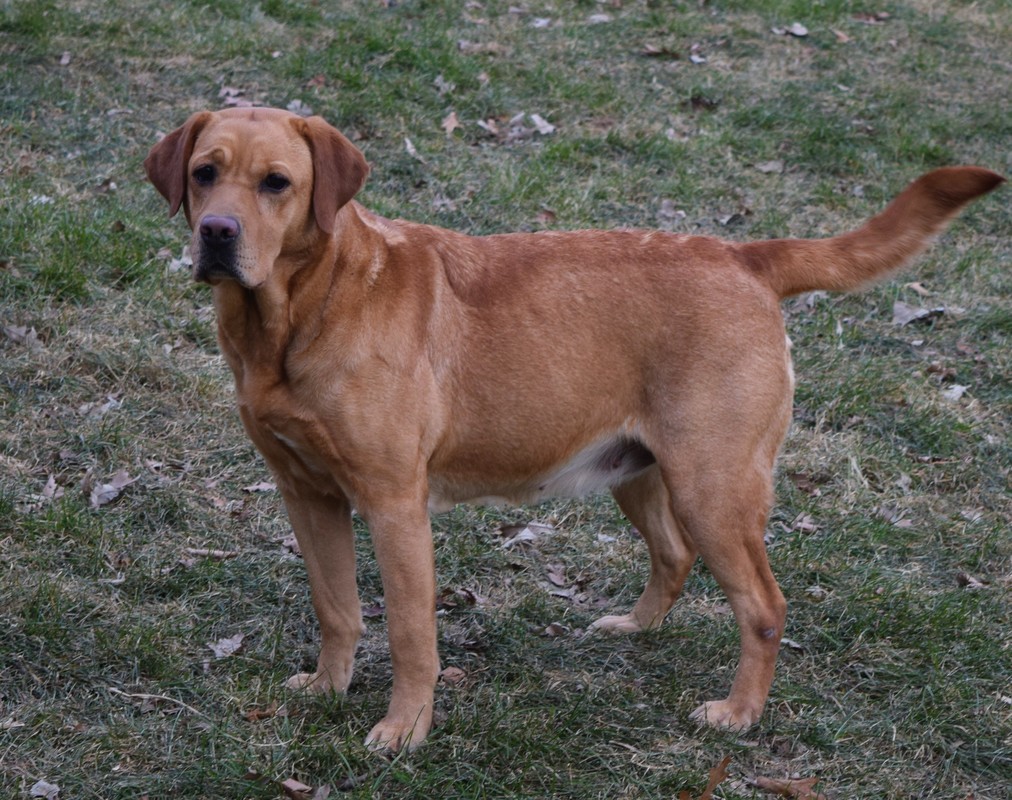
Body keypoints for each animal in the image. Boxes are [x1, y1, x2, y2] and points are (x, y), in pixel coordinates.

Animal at [144, 109, 1003, 752]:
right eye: (205, 173)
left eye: (277, 184)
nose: (216, 233)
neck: (296, 315)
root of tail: (744, 257)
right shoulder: (307, 494)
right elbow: (337, 608)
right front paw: (328, 688)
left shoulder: (393, 506)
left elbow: (414, 635)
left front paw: (405, 728)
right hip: (642, 472)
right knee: (673, 556)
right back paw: (633, 628)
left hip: (713, 487)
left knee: (763, 606)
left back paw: (738, 714)